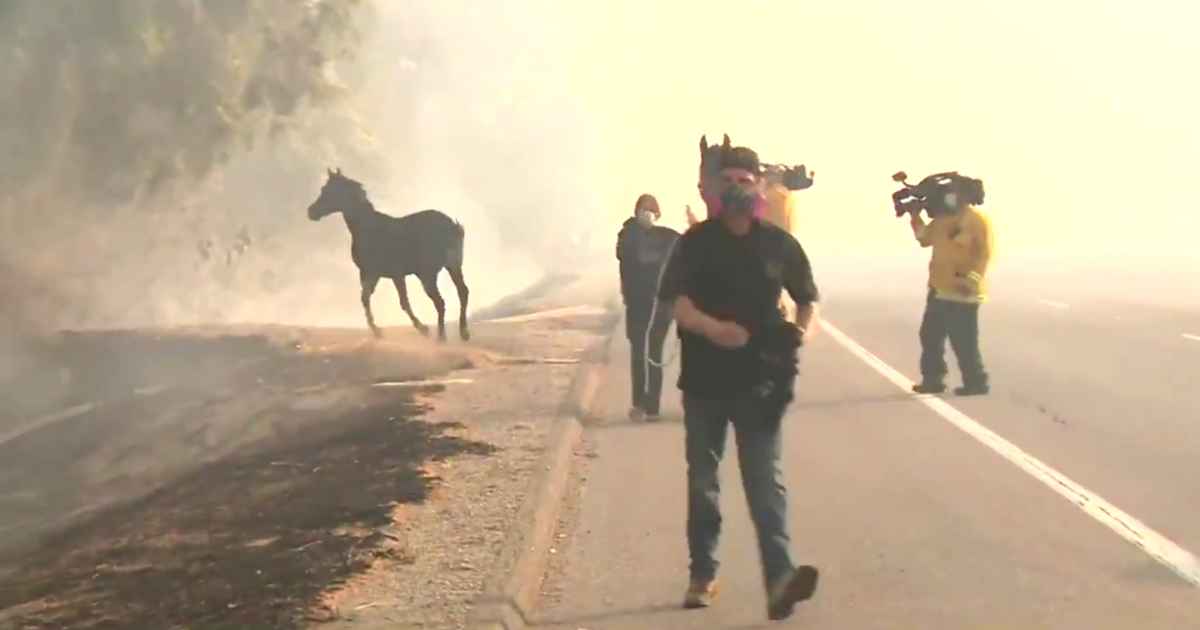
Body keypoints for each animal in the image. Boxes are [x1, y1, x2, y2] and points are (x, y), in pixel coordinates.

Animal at [309, 166, 468, 340]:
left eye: (329, 190)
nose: (311, 212)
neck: (368, 228)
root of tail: (452, 226)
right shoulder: (372, 273)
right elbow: (365, 298)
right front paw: (377, 331)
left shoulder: (394, 274)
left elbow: (403, 302)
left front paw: (422, 328)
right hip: (453, 267)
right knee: (462, 292)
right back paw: (463, 333)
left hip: (427, 274)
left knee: (440, 302)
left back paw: (441, 338)